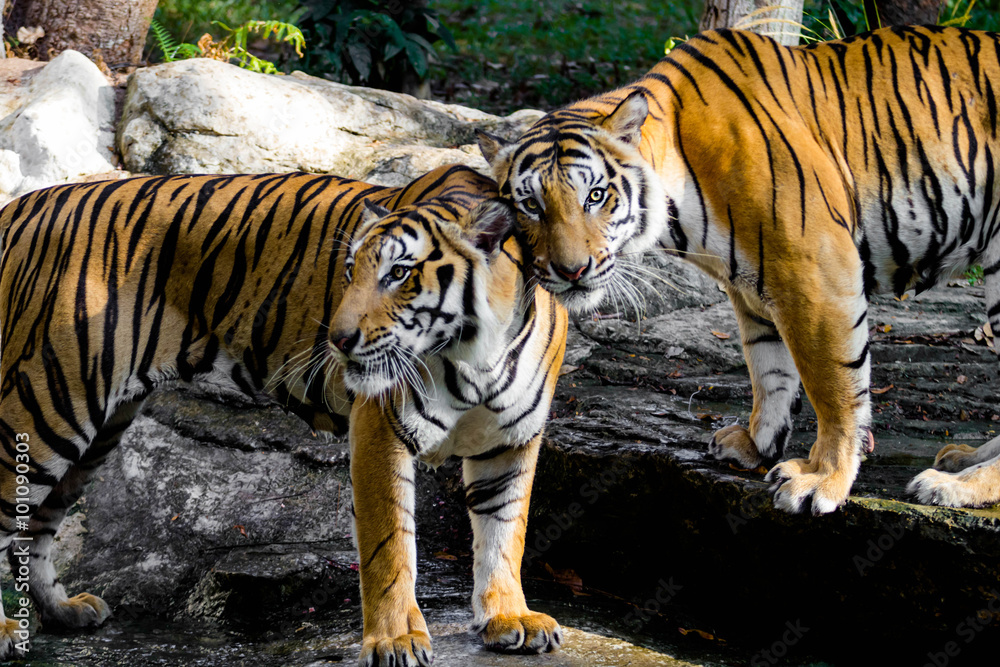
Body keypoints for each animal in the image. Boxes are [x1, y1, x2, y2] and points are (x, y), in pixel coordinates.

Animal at [0, 164, 568, 665]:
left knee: (37, 523)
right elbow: (390, 548)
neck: (474, 354)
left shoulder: (510, 442)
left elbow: (504, 533)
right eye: (349, 273)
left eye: (399, 273)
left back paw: (61, 611)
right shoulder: (381, 431)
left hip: (96, 428)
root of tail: (20, 205)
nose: (338, 340)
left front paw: (509, 619)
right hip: (46, 405)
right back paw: (9, 632)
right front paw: (396, 641)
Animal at [477, 25, 1000, 516]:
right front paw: (756, 444)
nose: (570, 271)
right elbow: (769, 368)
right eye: (530, 204)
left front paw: (822, 480)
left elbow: (834, 387)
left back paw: (957, 485)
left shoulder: (818, 272)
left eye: (595, 196)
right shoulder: (753, 283)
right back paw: (963, 458)